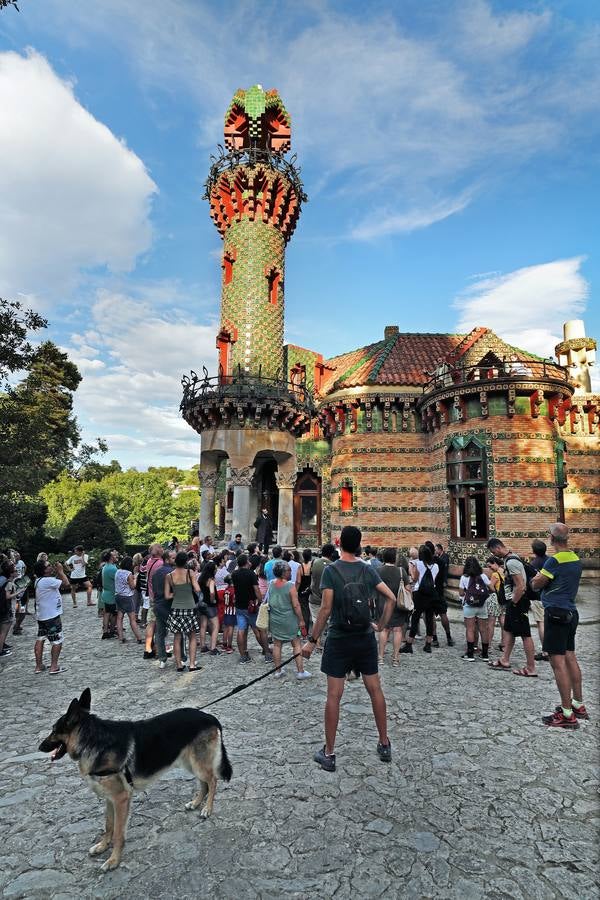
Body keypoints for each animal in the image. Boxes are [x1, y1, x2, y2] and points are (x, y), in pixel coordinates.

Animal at [38, 688, 233, 872]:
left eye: (54, 730)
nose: (39, 747)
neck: (92, 740)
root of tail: (209, 716)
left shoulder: (121, 799)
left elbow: (118, 833)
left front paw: (113, 861)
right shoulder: (110, 798)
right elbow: (108, 825)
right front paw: (102, 846)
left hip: (198, 764)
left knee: (212, 781)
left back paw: (207, 809)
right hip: (190, 762)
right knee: (204, 784)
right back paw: (196, 803)